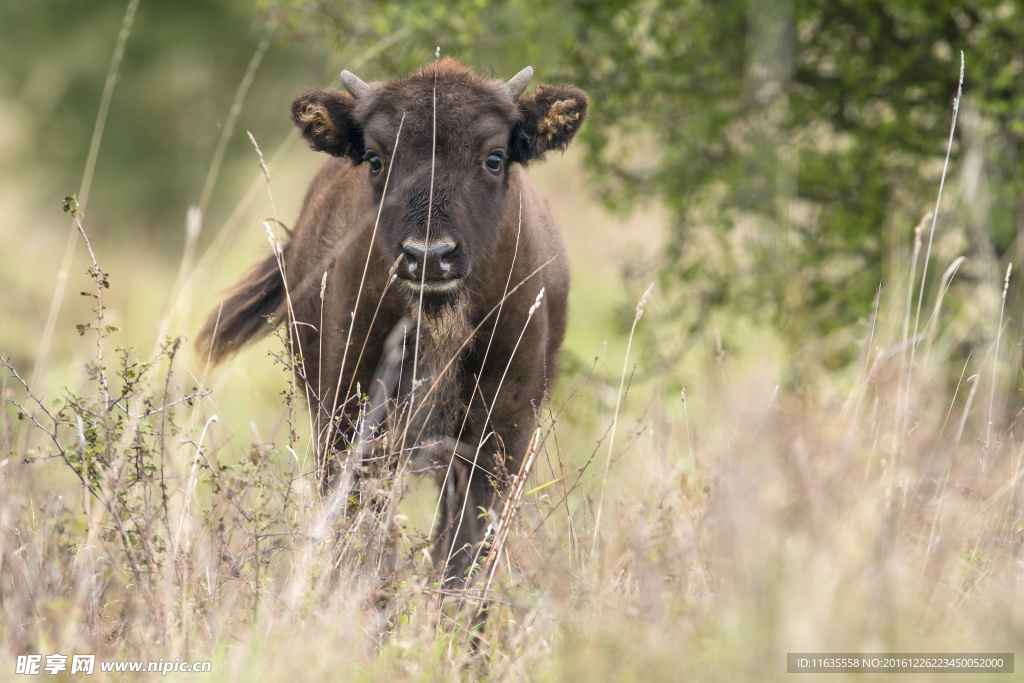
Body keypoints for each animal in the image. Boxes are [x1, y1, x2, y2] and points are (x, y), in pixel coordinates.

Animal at [198, 60, 589, 589]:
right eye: (375, 158)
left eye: (494, 157)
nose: (430, 255)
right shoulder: (347, 423)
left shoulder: (499, 438)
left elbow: (464, 554)